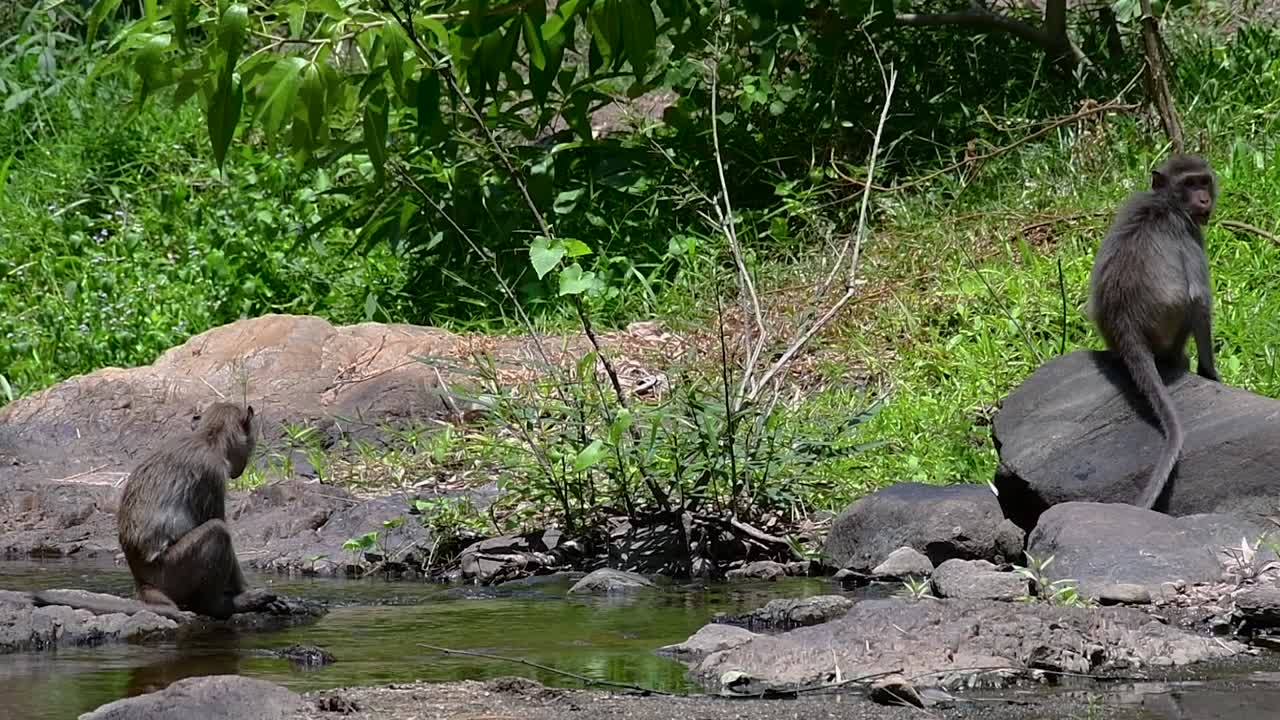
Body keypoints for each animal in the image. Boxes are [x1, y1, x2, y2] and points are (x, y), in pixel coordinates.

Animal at [32, 402, 281, 619]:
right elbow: (218, 523)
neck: (207, 438)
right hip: (173, 572)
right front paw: (247, 592)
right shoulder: (213, 474)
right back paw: (218, 606)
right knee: (217, 531)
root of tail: (143, 584)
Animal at [1086, 153, 1220, 511]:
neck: (1165, 202)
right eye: (1190, 184)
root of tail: (1126, 332)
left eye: (1203, 181)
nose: (1204, 199)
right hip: (1168, 333)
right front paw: (1211, 373)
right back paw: (1178, 362)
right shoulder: (1189, 234)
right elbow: (1198, 298)